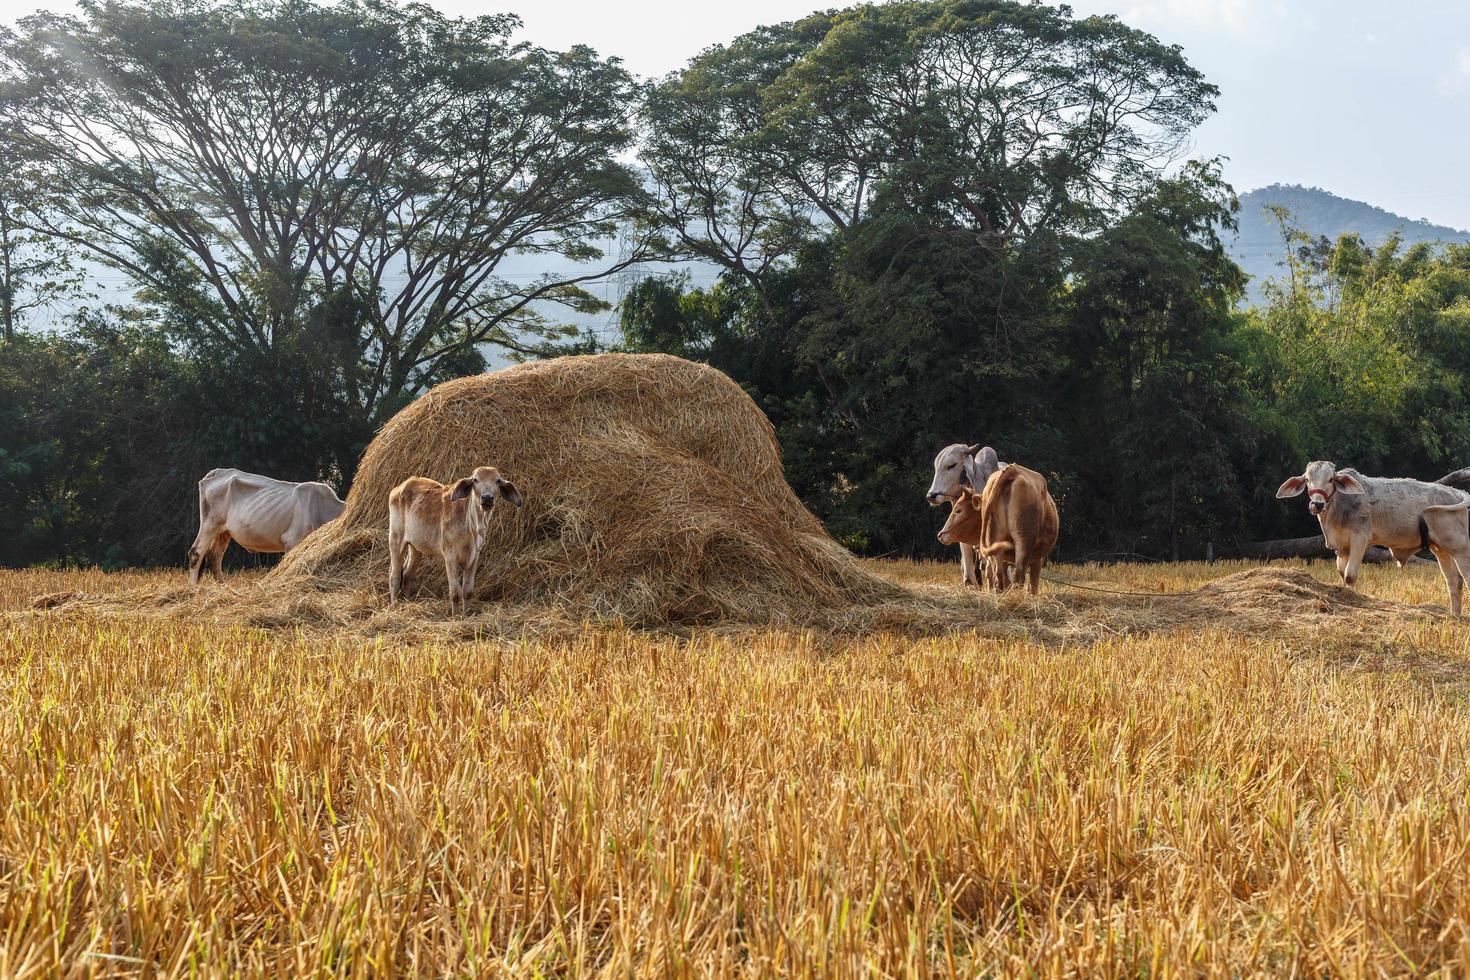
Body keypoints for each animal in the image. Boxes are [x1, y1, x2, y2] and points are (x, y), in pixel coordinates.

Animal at [188, 467, 345, 581]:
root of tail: (218, 472)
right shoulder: (292, 540)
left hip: (224, 531)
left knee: (215, 555)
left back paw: (222, 585)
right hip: (210, 524)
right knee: (196, 553)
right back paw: (194, 589)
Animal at [388, 467, 526, 617]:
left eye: (498, 481)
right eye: (475, 480)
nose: (487, 498)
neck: (472, 527)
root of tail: (400, 487)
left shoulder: (474, 557)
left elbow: (467, 591)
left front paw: (466, 614)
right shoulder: (450, 556)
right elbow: (455, 592)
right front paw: (454, 616)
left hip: (415, 547)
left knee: (408, 574)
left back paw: (408, 603)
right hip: (396, 540)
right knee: (395, 575)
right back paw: (394, 605)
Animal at [1270, 461, 1470, 614]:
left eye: (1330, 479)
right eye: (1307, 479)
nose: (1317, 504)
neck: (1340, 506)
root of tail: (1456, 492)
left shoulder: (1360, 539)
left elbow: (1350, 575)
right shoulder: (1341, 548)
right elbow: (1342, 573)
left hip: (1460, 548)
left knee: (1465, 578)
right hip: (1441, 549)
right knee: (1453, 581)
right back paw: (1454, 615)